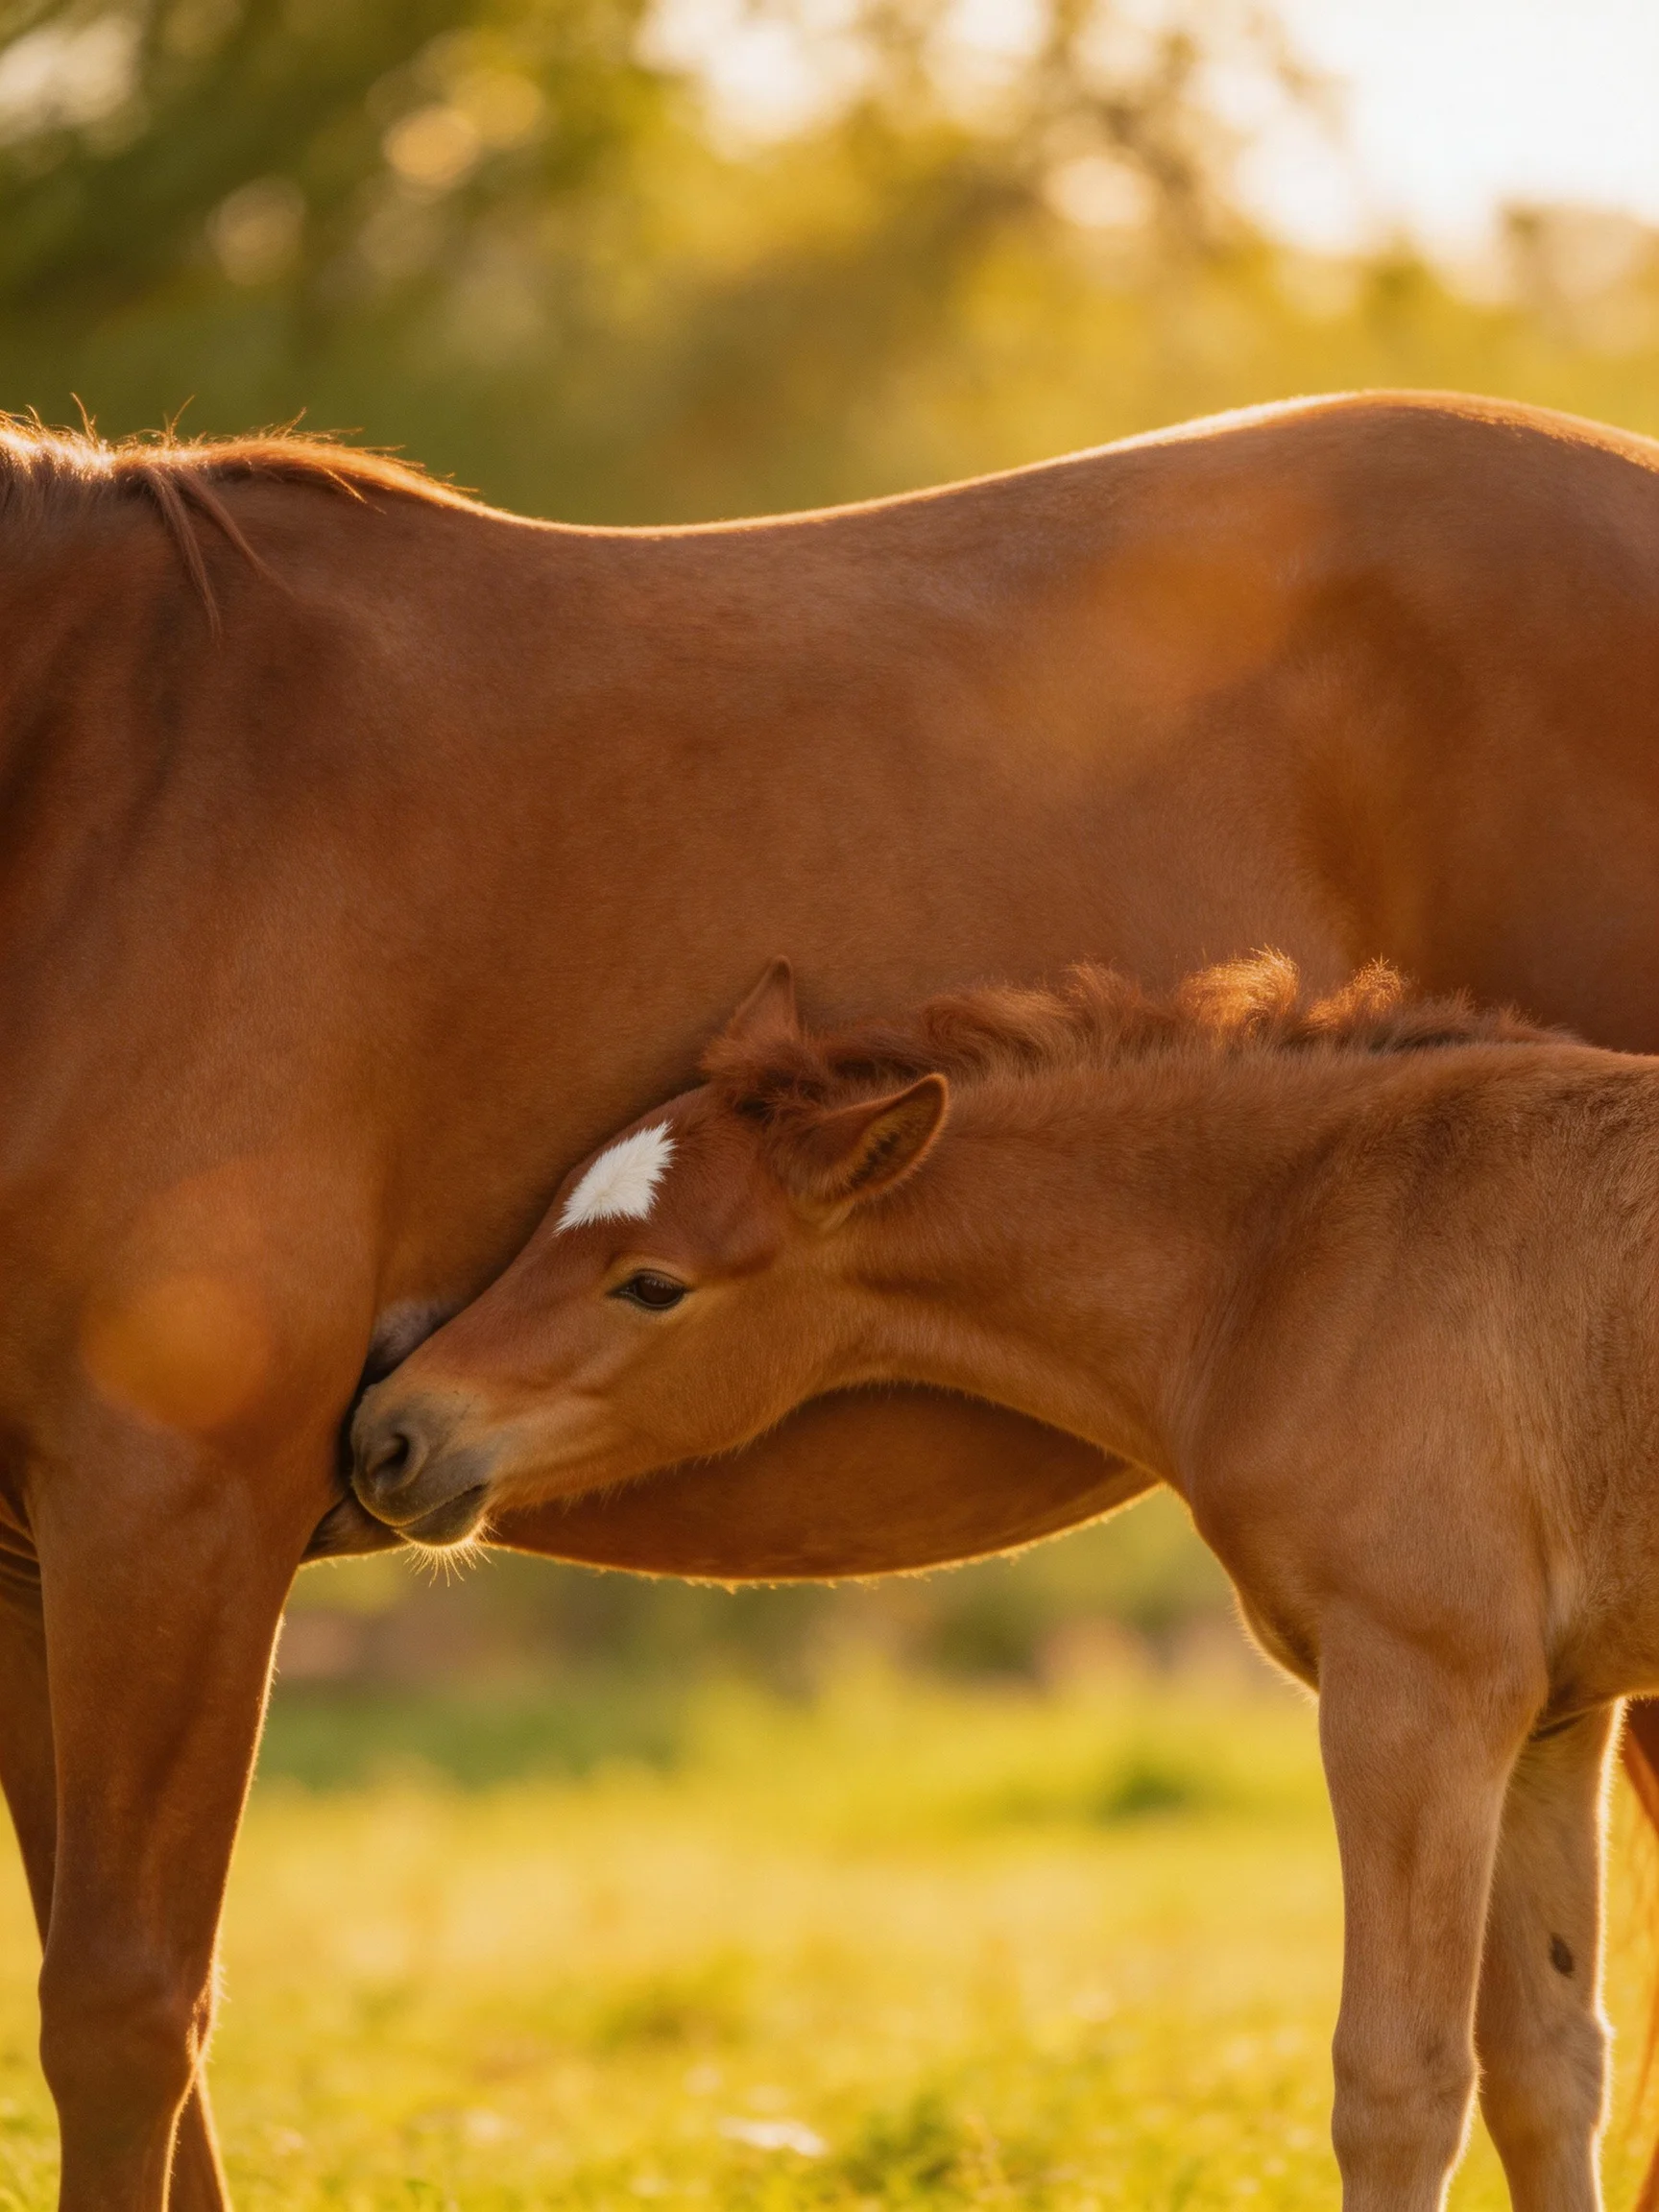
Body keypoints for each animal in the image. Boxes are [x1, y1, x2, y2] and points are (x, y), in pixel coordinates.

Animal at [354, 954, 1659, 2212]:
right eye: (545, 1214)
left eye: (651, 1284)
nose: (390, 1434)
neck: (1300, 1253)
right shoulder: (1555, 1717)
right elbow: (1550, 2070)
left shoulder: (1420, 1692)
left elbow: (1399, 2085)